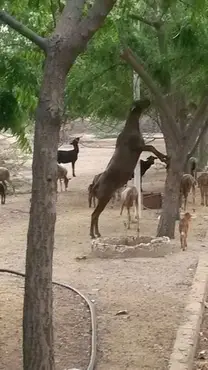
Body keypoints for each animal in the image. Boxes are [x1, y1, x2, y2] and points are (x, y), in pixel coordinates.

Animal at [90, 98, 168, 238]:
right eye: (140, 101)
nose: (149, 100)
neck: (131, 128)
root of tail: (96, 184)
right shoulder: (138, 147)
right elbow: (152, 147)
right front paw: (165, 158)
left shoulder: (140, 148)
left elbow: (152, 148)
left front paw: (164, 157)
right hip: (104, 198)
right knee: (94, 215)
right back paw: (93, 234)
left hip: (103, 198)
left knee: (96, 215)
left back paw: (97, 233)